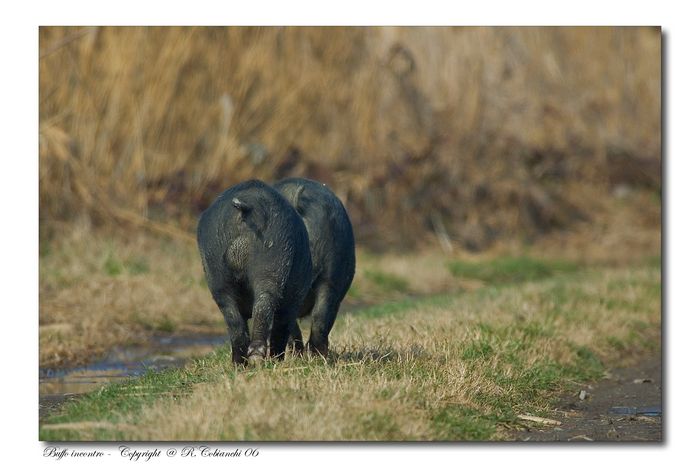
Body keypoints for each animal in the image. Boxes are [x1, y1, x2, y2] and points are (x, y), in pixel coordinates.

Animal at [197, 179, 312, 366]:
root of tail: (248, 207)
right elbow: (282, 327)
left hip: (217, 273)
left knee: (233, 318)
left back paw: (240, 364)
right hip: (272, 261)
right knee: (265, 303)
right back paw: (260, 357)